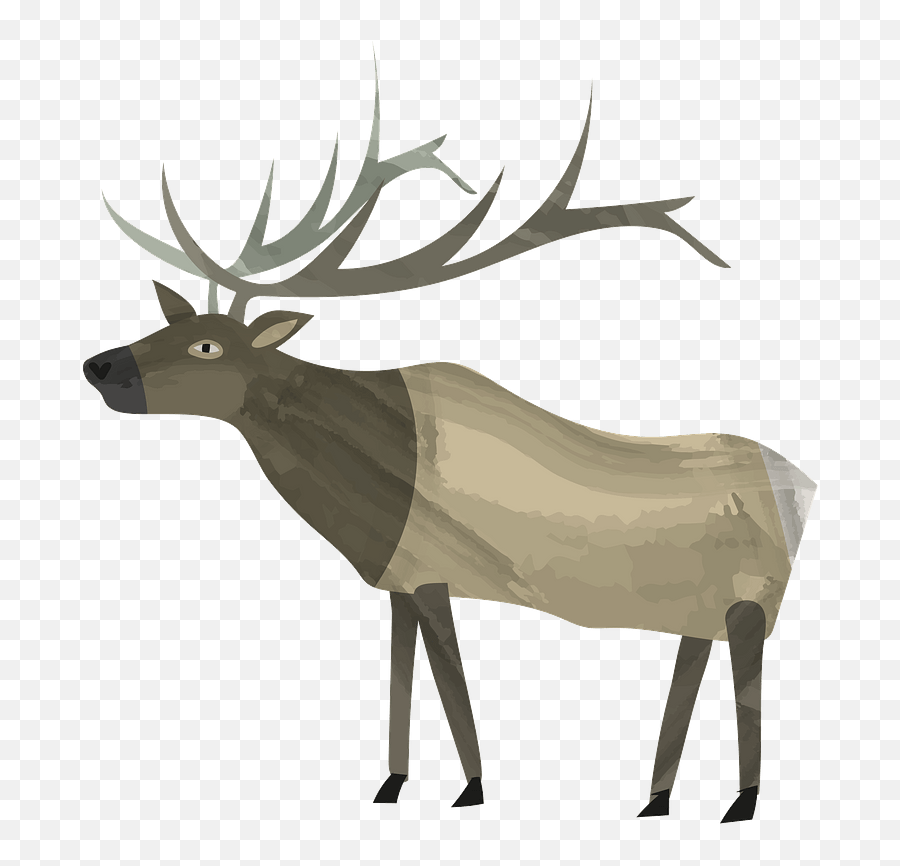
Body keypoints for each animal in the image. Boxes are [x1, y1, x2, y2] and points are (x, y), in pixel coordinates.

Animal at [83, 77, 816, 823]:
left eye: (208, 345)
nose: (100, 366)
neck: (367, 492)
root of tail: (804, 486)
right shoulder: (400, 583)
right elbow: (403, 677)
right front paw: (393, 783)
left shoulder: (435, 574)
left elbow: (451, 684)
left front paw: (472, 788)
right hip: (697, 607)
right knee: (693, 666)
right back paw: (657, 799)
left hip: (751, 602)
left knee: (747, 678)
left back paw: (742, 801)